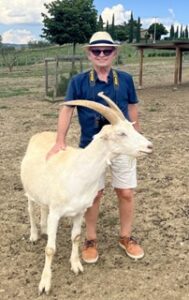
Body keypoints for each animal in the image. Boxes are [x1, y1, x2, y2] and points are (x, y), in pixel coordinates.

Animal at [21, 92, 152, 294]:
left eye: (132, 127)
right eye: (121, 133)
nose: (149, 146)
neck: (77, 170)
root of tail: (40, 134)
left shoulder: (80, 211)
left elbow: (75, 237)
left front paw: (76, 266)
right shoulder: (56, 212)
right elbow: (50, 249)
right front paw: (44, 284)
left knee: (43, 208)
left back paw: (43, 229)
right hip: (28, 190)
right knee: (30, 209)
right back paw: (35, 234)